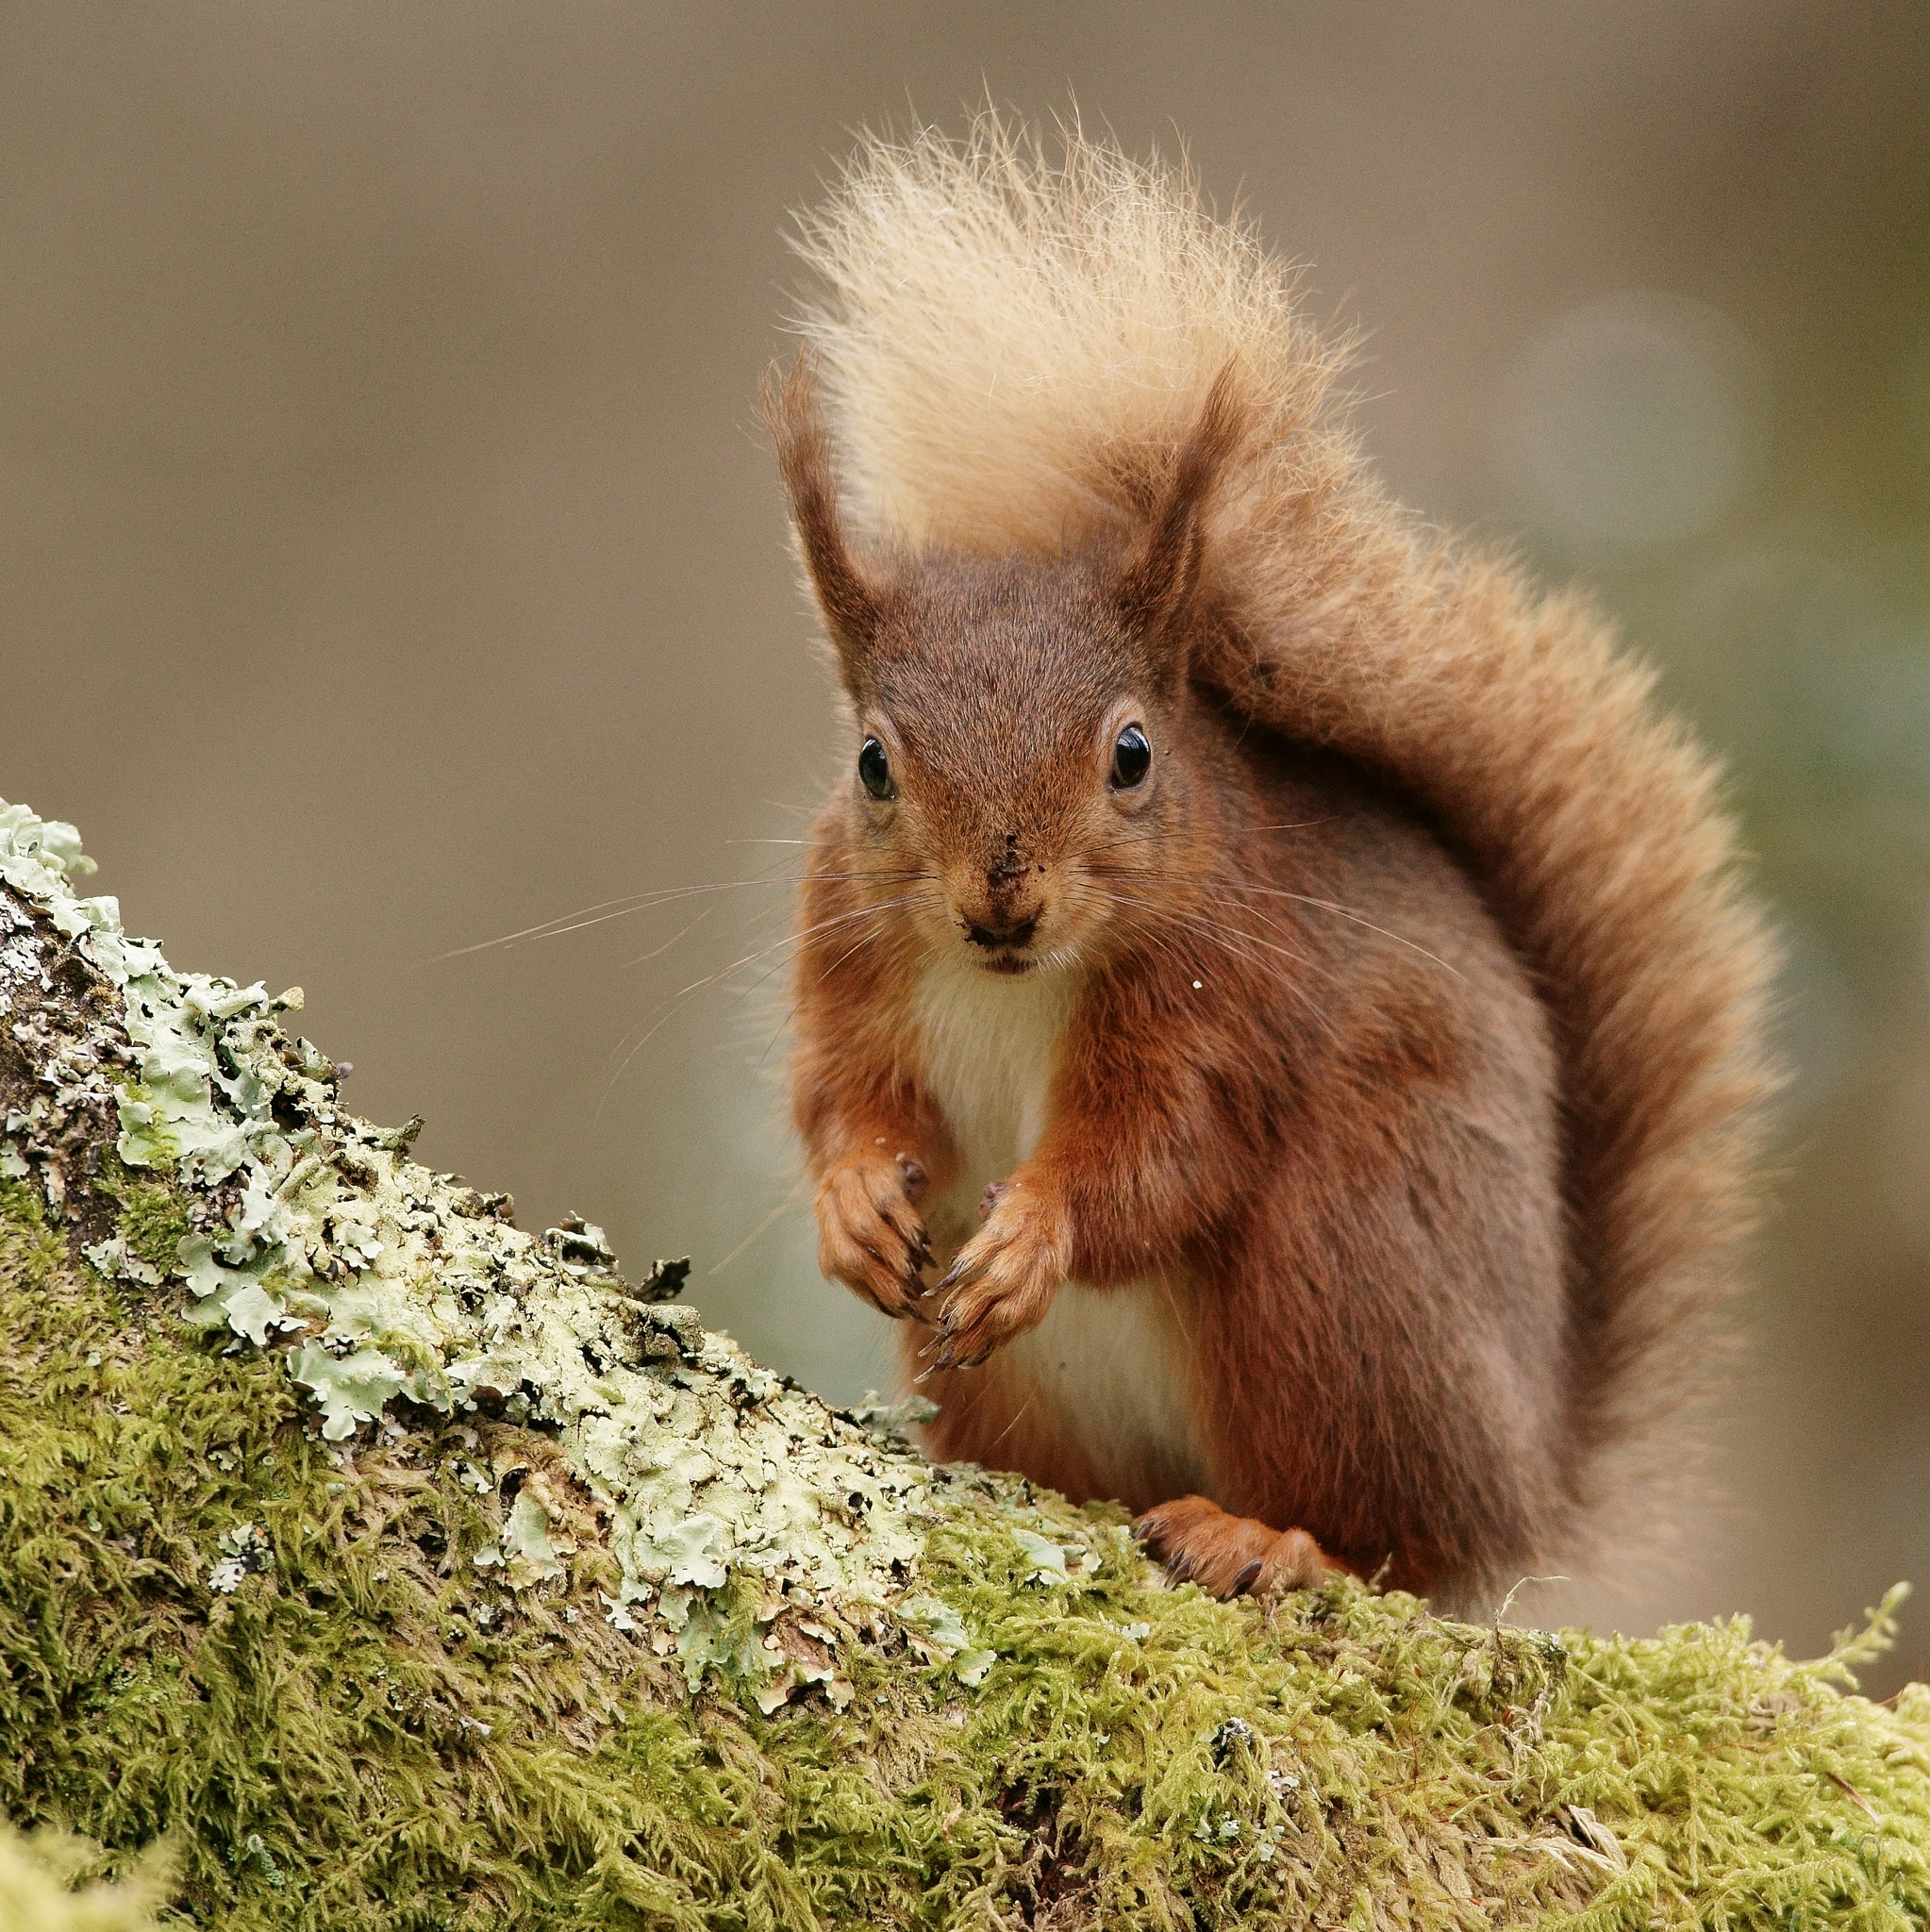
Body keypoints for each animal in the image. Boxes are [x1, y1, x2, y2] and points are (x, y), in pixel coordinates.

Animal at [757, 112, 1777, 1607]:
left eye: (1132, 753)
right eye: (873, 764)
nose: (1000, 894)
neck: (1011, 984)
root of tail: (1528, 1481)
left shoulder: (1233, 991)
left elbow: (1165, 1154)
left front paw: (1035, 1235)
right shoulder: (845, 960)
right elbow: (838, 1098)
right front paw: (848, 1208)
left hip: (1339, 1282)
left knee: (1391, 1539)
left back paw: (1269, 1536)